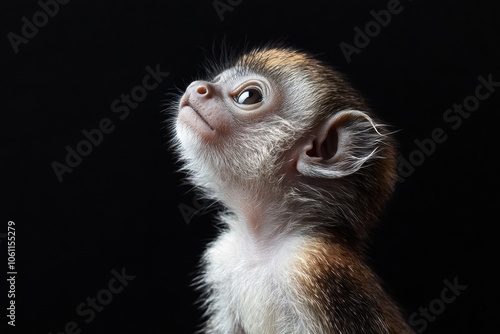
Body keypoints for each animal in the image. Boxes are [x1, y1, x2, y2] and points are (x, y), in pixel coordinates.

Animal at [173, 45, 414, 334]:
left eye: (248, 96)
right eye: (218, 79)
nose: (199, 88)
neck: (262, 245)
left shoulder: (313, 269)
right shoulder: (223, 256)